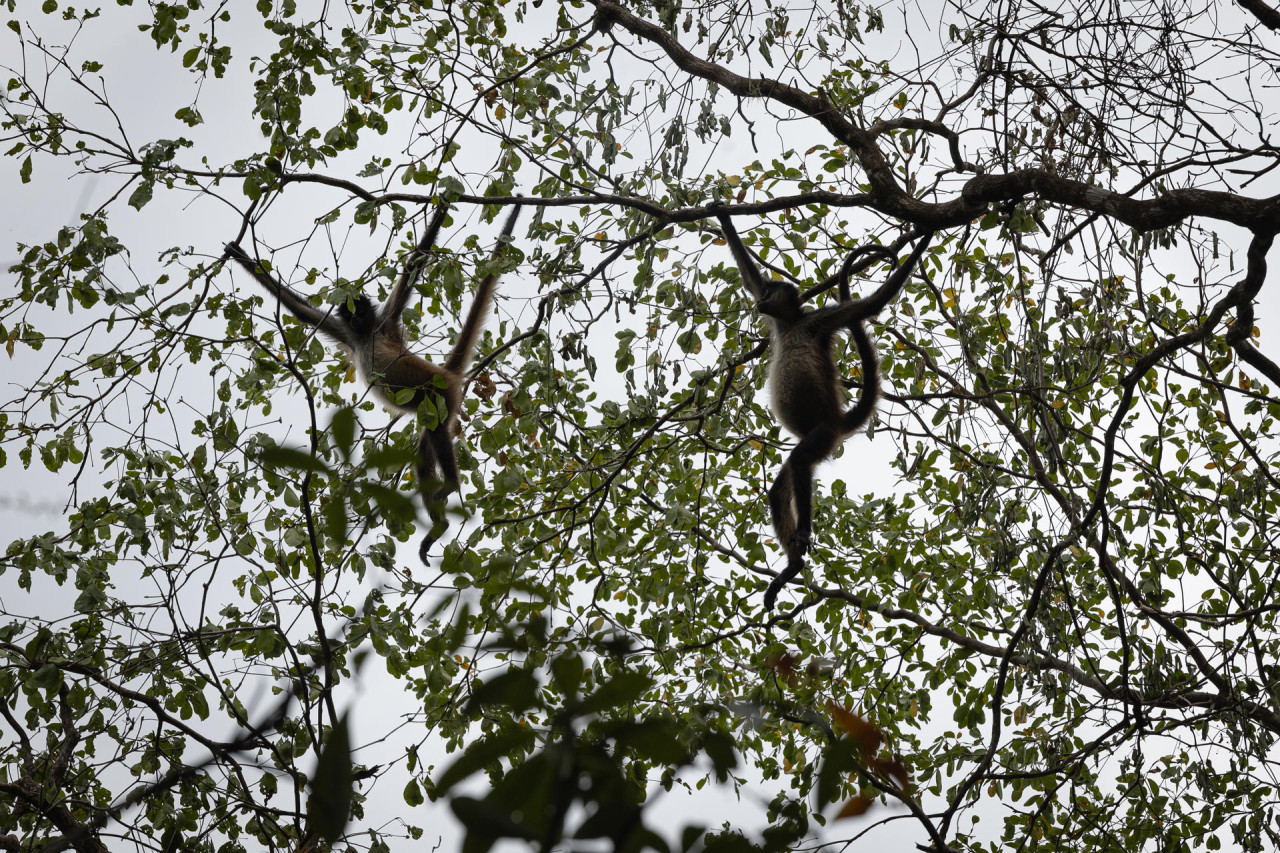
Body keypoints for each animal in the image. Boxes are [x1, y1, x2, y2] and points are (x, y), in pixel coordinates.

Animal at [225, 201, 519, 563]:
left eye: (360, 310)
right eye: (349, 313)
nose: (355, 318)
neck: (366, 336)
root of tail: (446, 374)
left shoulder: (385, 323)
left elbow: (414, 264)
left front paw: (443, 205)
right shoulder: (349, 337)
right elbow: (302, 312)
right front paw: (241, 256)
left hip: (440, 394)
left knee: (436, 429)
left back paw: (451, 485)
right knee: (425, 451)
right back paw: (439, 527)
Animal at [716, 208, 936, 607]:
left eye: (770, 293)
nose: (761, 302)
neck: (791, 325)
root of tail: (837, 421)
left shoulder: (818, 320)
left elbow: (872, 304)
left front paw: (925, 238)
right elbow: (747, 274)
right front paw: (720, 210)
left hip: (822, 436)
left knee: (801, 460)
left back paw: (799, 543)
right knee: (781, 487)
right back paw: (791, 565)